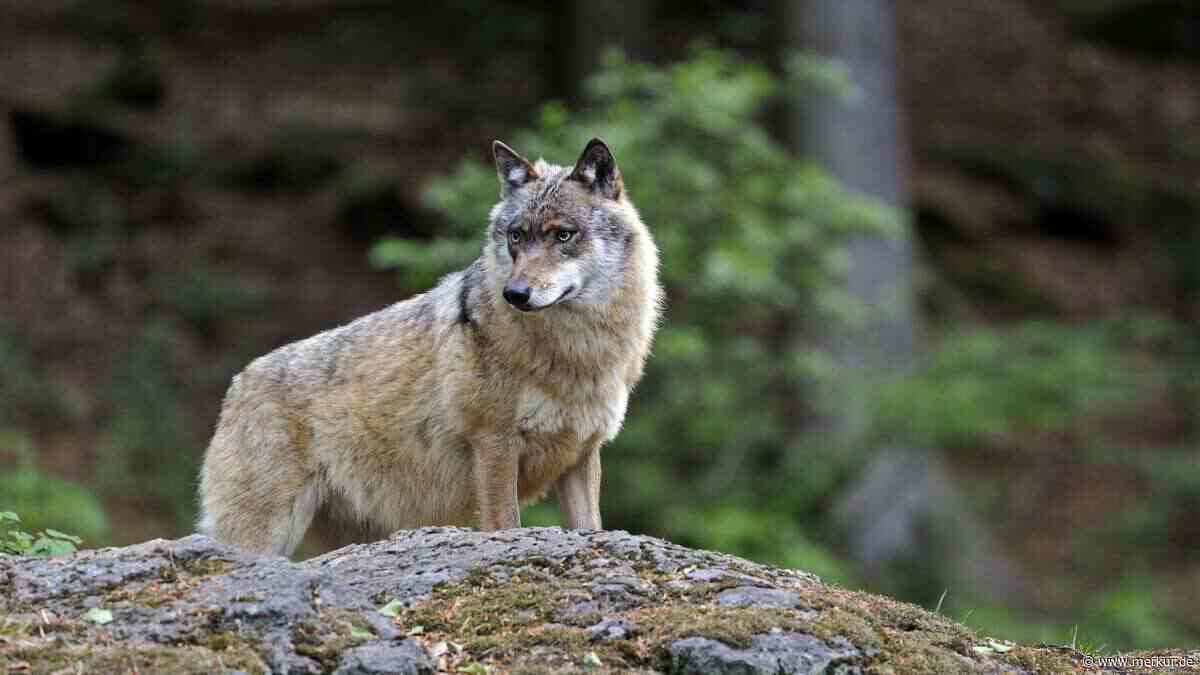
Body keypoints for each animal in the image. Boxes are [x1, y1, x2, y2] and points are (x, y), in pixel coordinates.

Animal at [197, 138, 663, 556]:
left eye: (563, 235)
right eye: (516, 237)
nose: (515, 293)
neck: (576, 351)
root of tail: (237, 384)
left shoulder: (582, 454)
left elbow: (592, 529)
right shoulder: (495, 446)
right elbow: (505, 526)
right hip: (267, 532)